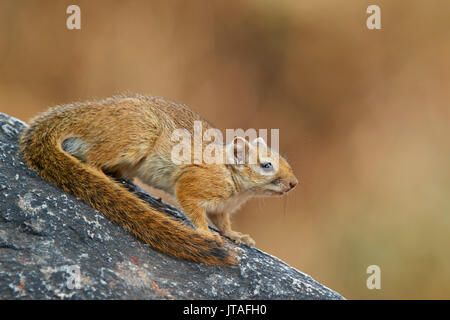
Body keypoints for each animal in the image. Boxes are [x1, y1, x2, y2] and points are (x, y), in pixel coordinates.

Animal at [18, 94, 298, 264]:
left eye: (286, 160)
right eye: (266, 165)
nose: (294, 183)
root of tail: (94, 112)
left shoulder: (222, 209)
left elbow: (224, 223)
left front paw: (238, 236)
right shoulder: (193, 184)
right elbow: (194, 209)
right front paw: (208, 234)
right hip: (134, 138)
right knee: (92, 158)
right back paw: (103, 178)